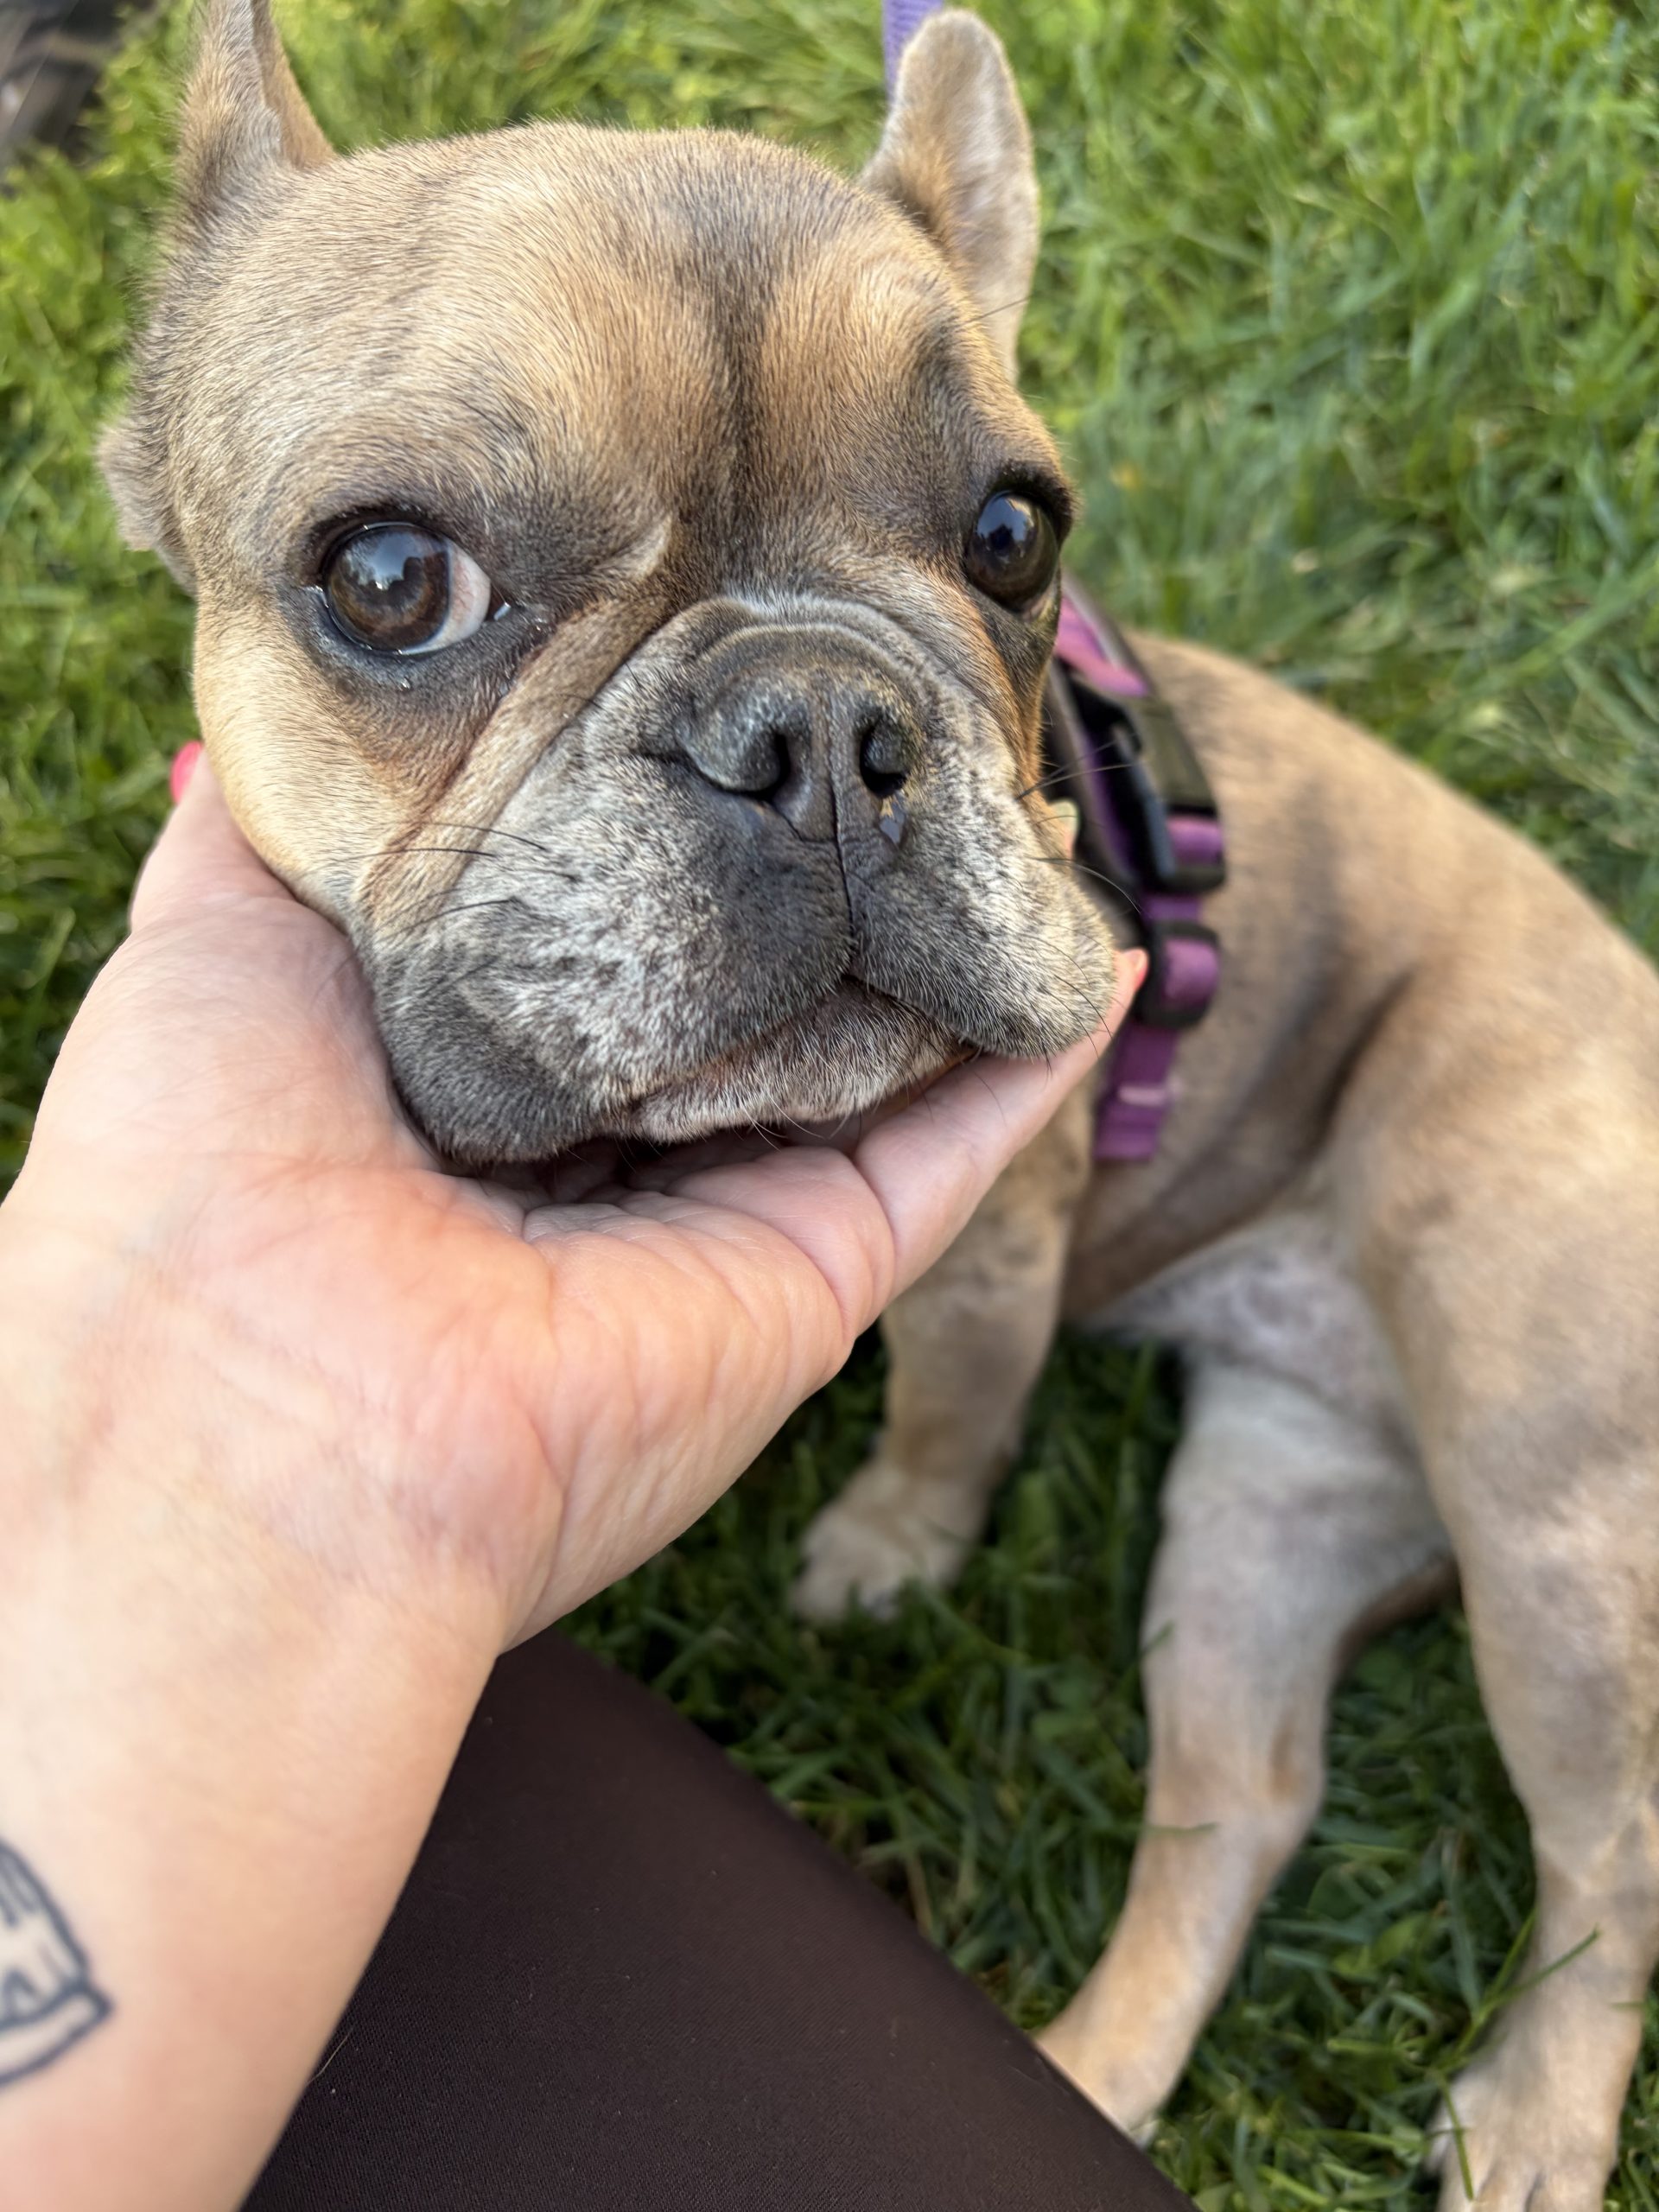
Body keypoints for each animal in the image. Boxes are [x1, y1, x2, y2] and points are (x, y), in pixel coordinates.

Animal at [102, 4, 1659, 2203]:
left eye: (1017, 532)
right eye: (389, 575)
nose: (824, 722)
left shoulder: (995, 1257)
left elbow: (948, 1416)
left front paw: (889, 1546)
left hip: (1546, 1492)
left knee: (1615, 1847)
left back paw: (1532, 2108)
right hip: (1263, 1517)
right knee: (1243, 1807)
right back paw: (1090, 2067)